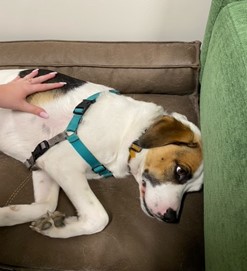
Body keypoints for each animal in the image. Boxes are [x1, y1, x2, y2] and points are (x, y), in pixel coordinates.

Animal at [0, 69, 203, 238]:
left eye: (193, 191)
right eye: (180, 171)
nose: (171, 218)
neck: (133, 133)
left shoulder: (42, 162)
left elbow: (46, 205)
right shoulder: (60, 164)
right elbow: (99, 218)